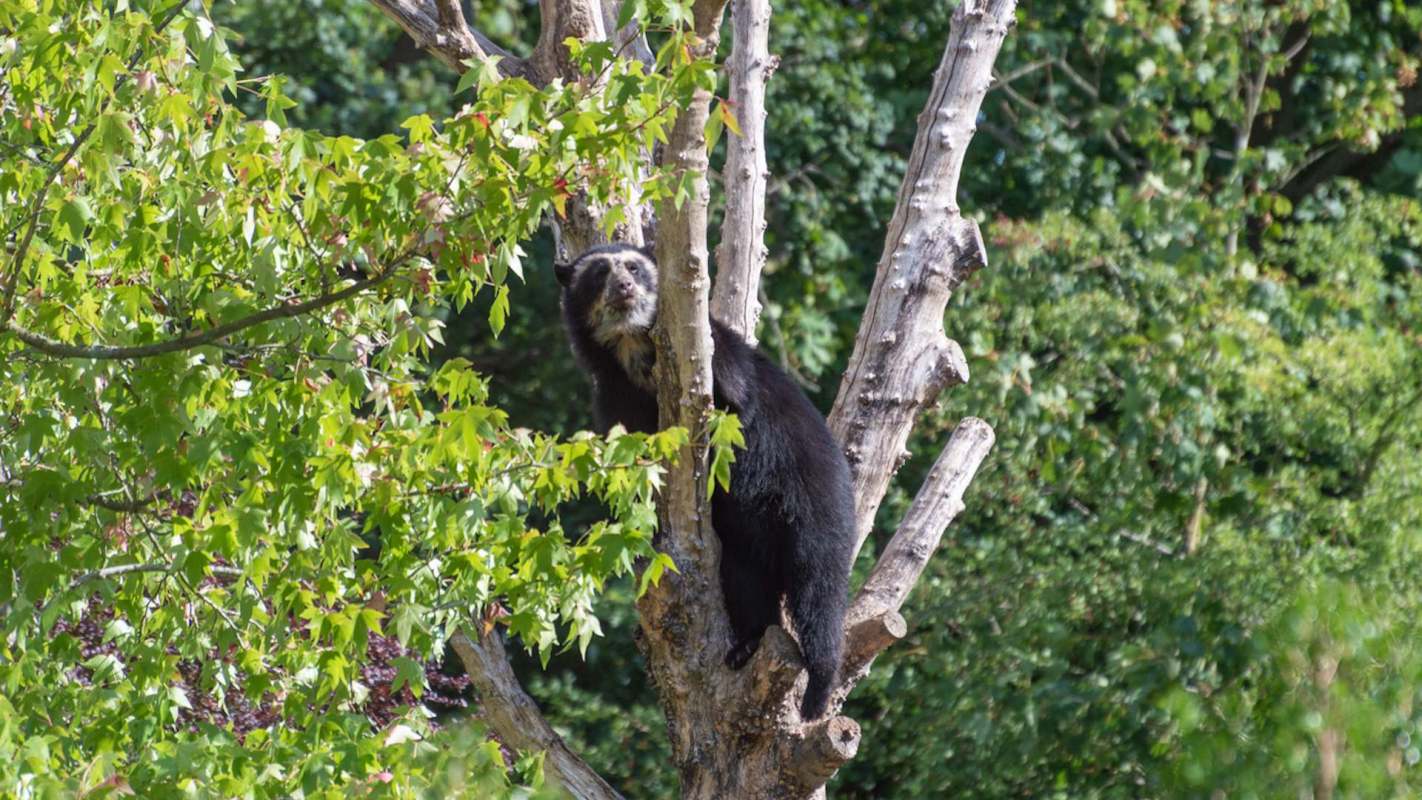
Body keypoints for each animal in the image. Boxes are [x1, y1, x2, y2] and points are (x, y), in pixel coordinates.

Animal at [551, 242, 841, 719]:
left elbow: (734, 389)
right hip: (746, 541)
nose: (624, 287)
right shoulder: (614, 396)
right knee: (747, 581)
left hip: (812, 500)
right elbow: (638, 464)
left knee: (819, 588)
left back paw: (818, 688)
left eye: (634, 268)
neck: (632, 349)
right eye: (598, 273)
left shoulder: (722, 357)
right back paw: (747, 644)